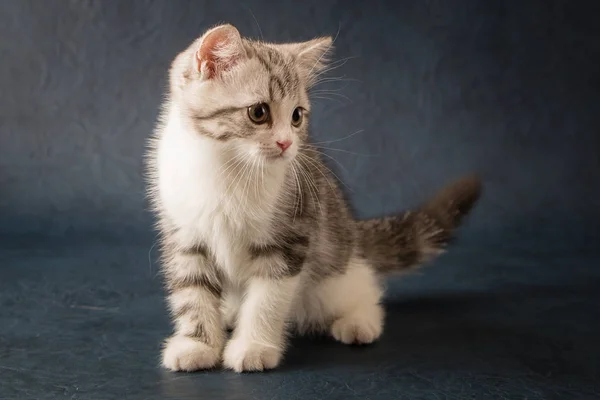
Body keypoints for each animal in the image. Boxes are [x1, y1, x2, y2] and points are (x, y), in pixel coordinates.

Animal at [145, 24, 482, 372]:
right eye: (258, 112)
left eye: (297, 116)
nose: (286, 143)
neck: (226, 167)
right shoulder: (184, 234)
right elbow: (192, 291)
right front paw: (197, 344)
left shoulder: (291, 233)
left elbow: (267, 298)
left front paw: (254, 346)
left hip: (332, 272)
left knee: (364, 287)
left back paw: (360, 321)